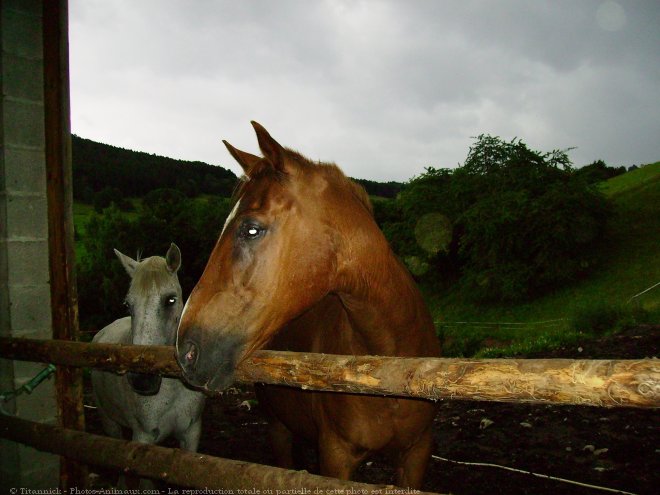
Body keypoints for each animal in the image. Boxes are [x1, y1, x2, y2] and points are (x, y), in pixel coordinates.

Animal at [90, 246, 204, 452]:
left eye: (171, 300)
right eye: (128, 304)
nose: (142, 379)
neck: (173, 387)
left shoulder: (191, 434)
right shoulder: (142, 436)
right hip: (108, 420)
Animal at [178, 123, 440, 488]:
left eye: (251, 229)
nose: (186, 351)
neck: (389, 370)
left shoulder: (416, 454)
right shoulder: (335, 455)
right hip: (278, 427)